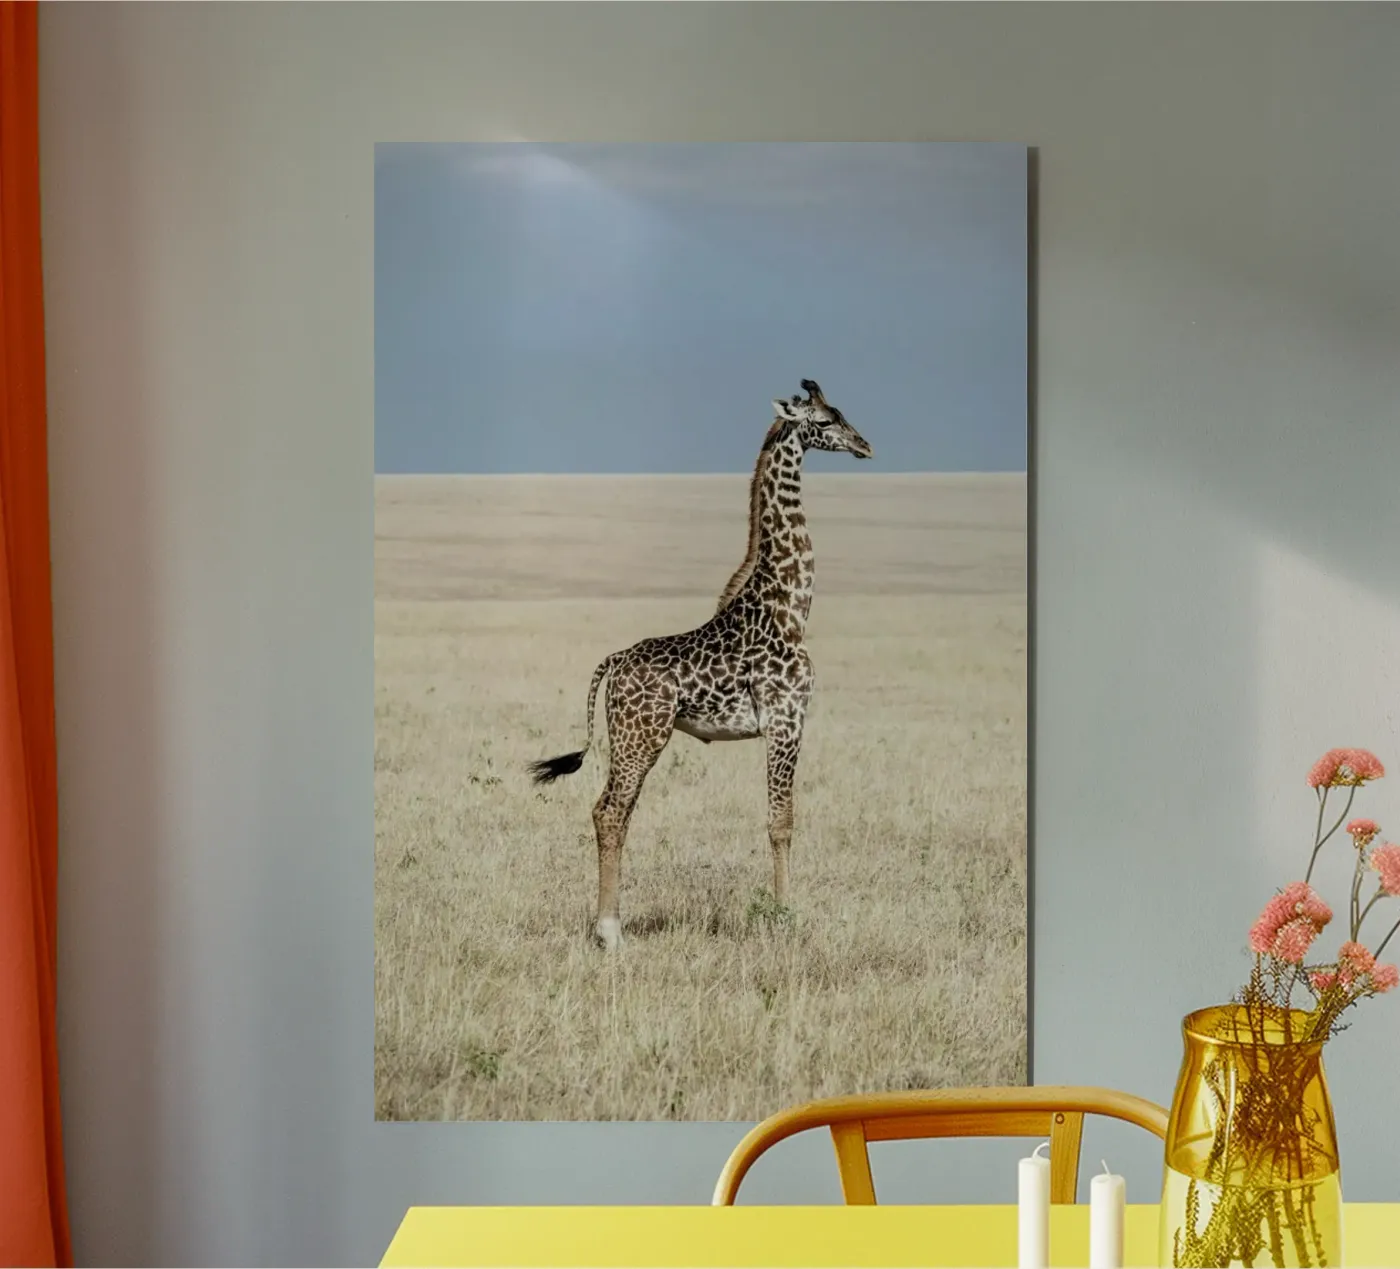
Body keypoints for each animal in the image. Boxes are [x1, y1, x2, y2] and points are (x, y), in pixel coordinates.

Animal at [529, 380, 873, 950]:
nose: (864, 445)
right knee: (610, 811)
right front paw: (784, 917)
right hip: (641, 736)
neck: (790, 607)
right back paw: (609, 932)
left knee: (613, 812)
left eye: (842, 413)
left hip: (632, 739)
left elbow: (780, 819)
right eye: (824, 422)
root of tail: (613, 662)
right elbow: (781, 822)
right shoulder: (786, 720)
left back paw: (610, 926)